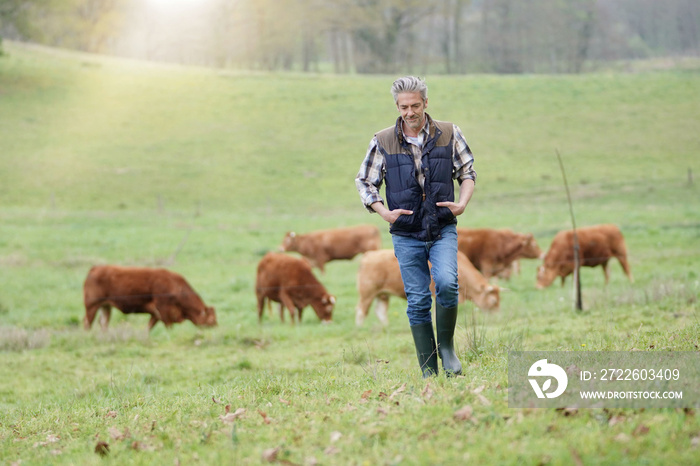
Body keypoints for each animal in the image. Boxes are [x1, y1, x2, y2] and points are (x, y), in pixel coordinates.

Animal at [82, 266, 215, 332]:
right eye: (211, 320)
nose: (215, 328)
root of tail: (96, 267)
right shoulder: (163, 310)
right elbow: (169, 327)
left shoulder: (155, 314)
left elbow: (149, 327)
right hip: (91, 306)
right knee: (87, 323)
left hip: (105, 306)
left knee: (104, 323)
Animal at [356, 249, 498, 326]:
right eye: (493, 301)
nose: (497, 317)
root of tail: (368, 255)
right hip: (367, 293)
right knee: (361, 311)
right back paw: (359, 329)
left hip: (382, 295)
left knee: (380, 311)